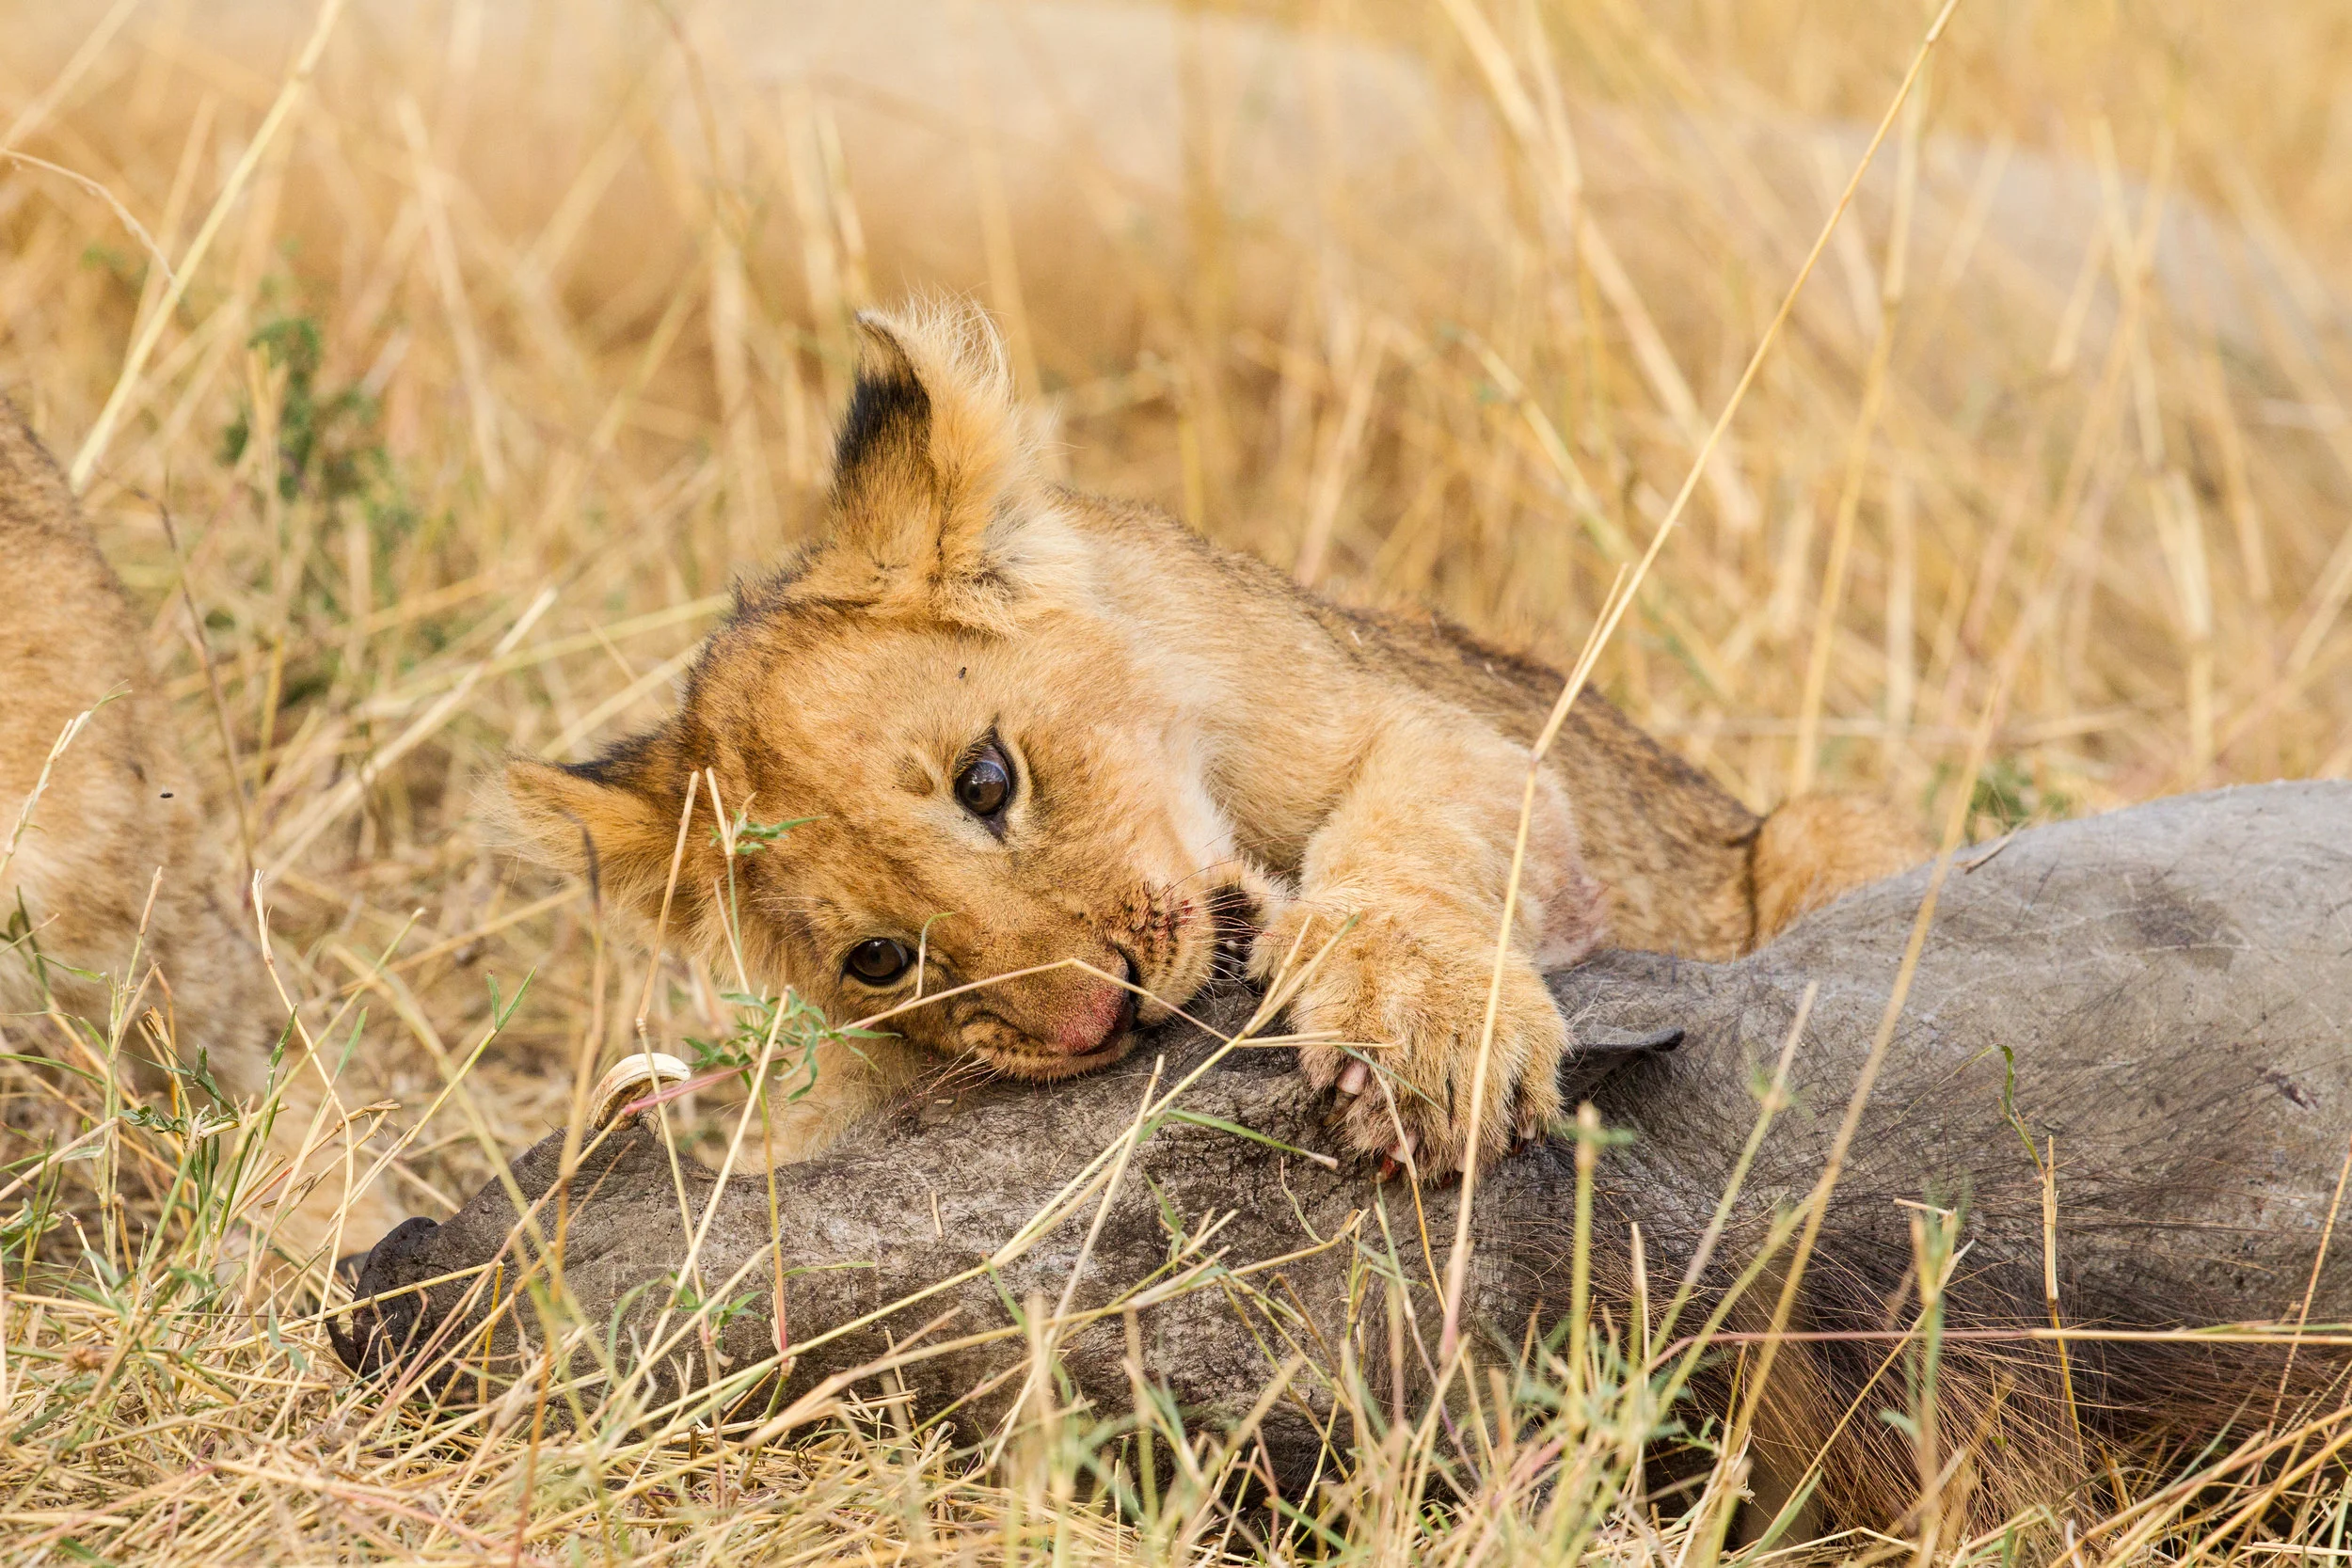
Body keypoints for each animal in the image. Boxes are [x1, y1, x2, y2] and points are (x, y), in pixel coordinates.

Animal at [505, 301, 1920, 1172]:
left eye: (986, 779)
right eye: (879, 960)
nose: (1099, 1018)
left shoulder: (1449, 737)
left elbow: (1408, 851)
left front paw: (1414, 1035)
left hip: (1822, 825)